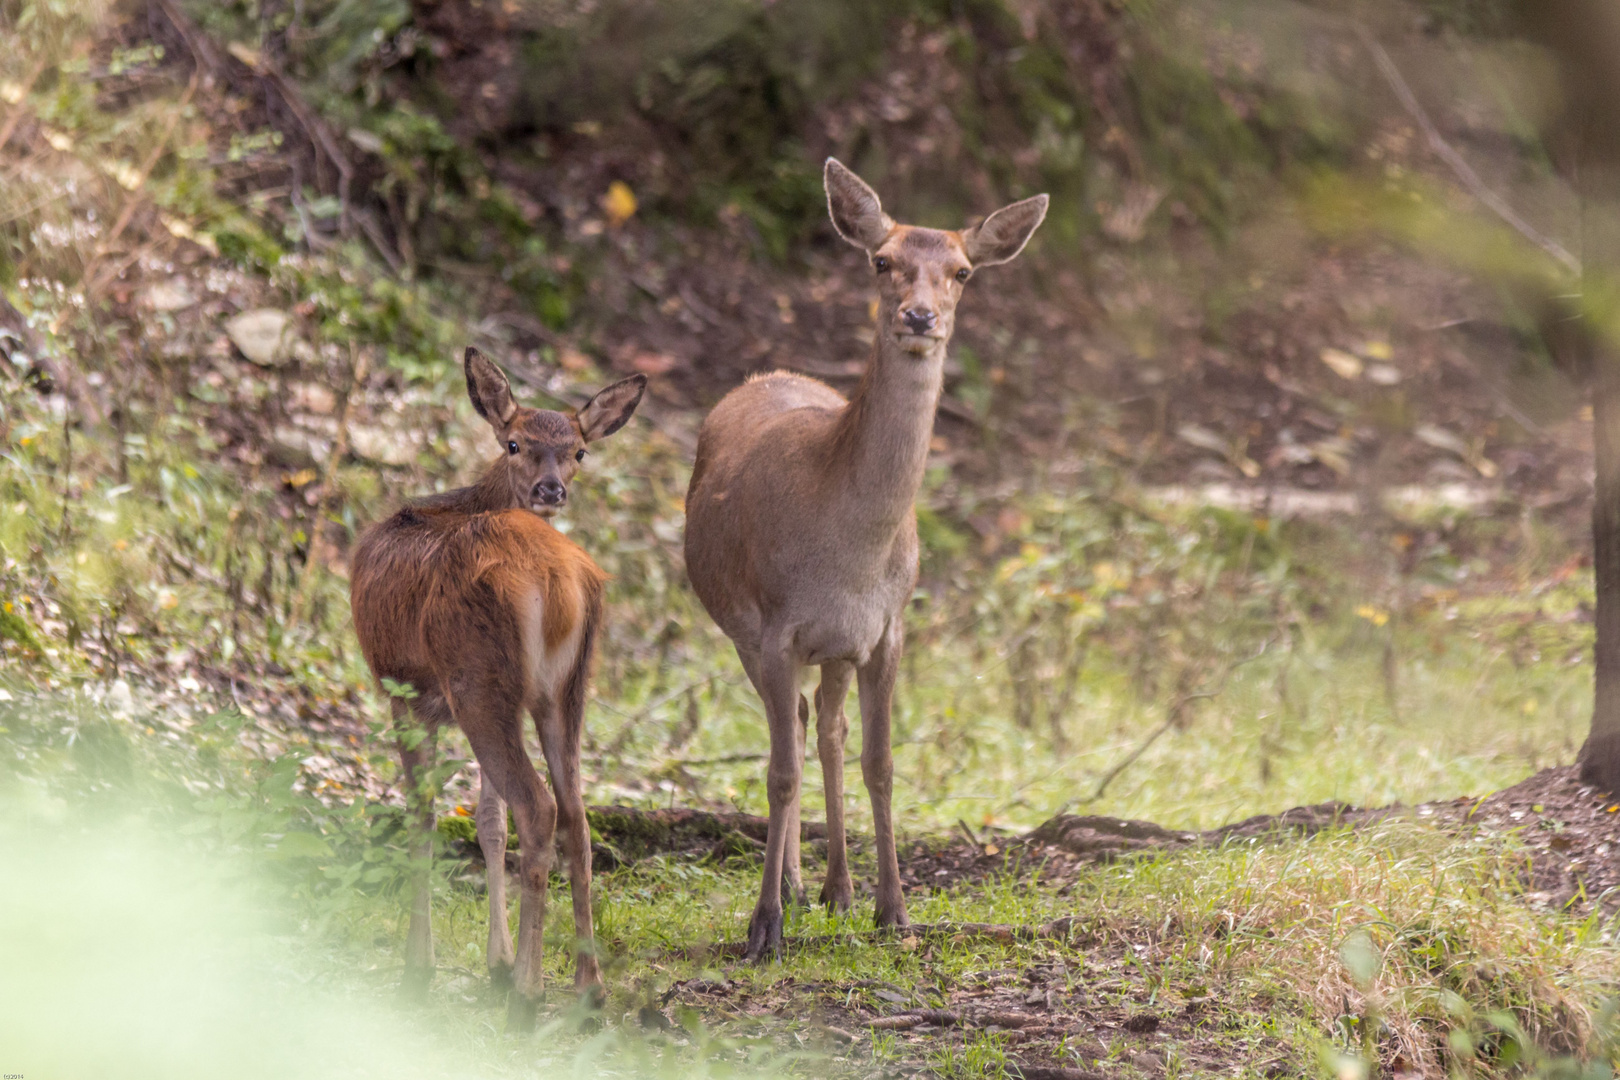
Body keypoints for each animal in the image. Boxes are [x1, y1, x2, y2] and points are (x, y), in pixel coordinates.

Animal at [353, 351, 644, 1029]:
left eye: (579, 451)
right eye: (515, 442)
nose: (550, 489)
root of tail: (557, 578)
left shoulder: (407, 694)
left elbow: (424, 818)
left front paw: (422, 969)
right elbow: (489, 822)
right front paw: (497, 962)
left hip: (477, 679)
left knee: (539, 806)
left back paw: (530, 999)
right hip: (565, 690)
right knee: (576, 815)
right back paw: (587, 989)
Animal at [686, 158, 1049, 952]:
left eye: (963, 272)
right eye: (882, 261)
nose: (919, 316)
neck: (847, 558)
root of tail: (763, 377)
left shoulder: (887, 631)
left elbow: (880, 762)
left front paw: (894, 911)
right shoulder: (775, 627)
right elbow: (778, 773)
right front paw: (763, 926)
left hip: (835, 651)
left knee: (826, 728)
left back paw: (836, 889)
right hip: (739, 628)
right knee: (790, 728)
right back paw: (795, 887)